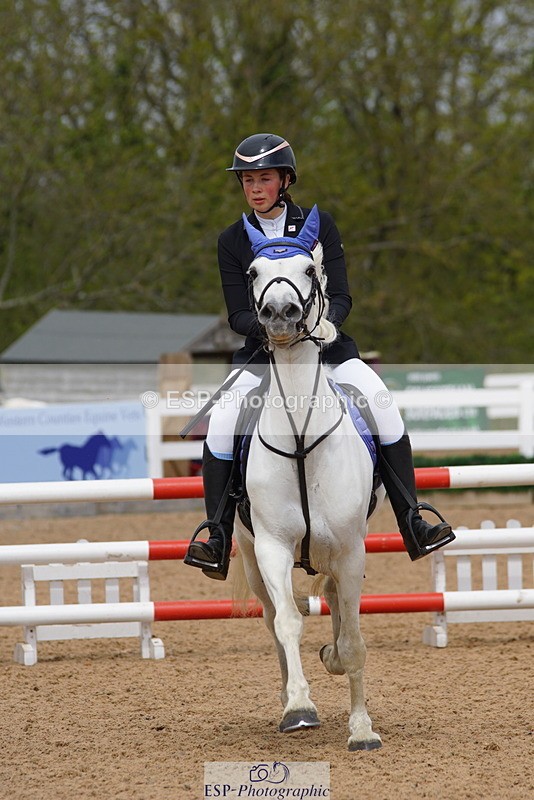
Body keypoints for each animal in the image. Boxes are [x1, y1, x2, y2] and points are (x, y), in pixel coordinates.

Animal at [233, 206, 384, 751]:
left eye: (309, 270)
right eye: (253, 271)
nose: (279, 313)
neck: (301, 436)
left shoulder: (351, 551)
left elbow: (354, 641)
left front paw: (362, 729)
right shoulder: (272, 548)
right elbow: (289, 623)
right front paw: (299, 706)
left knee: (339, 610)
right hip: (250, 556)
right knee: (275, 619)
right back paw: (287, 698)